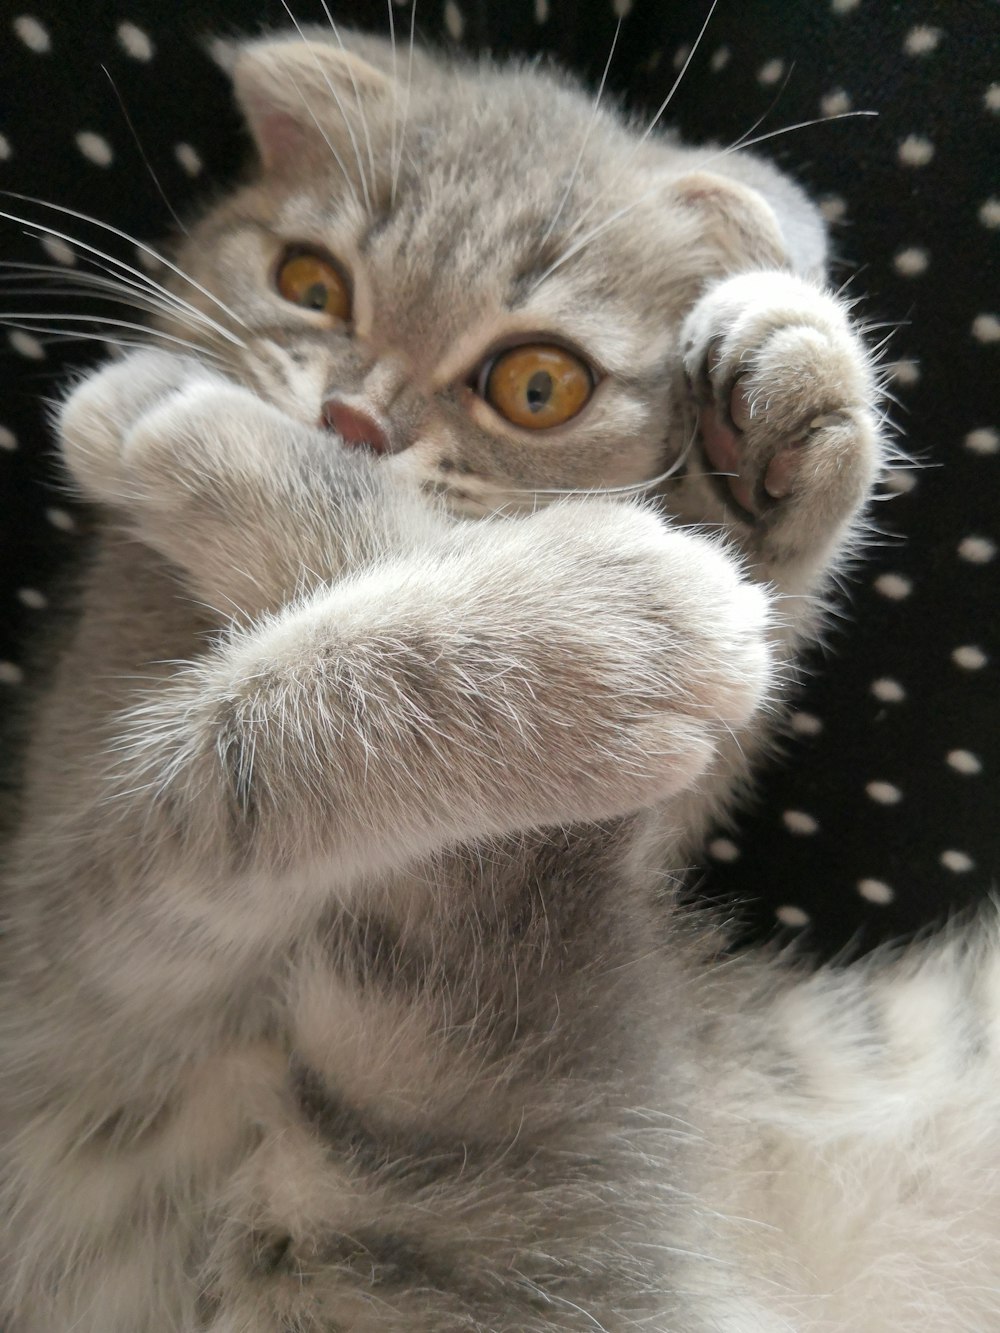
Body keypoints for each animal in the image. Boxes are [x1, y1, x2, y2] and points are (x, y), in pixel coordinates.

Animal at [1, 20, 1000, 1333]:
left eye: (538, 385)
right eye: (311, 285)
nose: (351, 420)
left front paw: (781, 428)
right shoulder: (69, 930)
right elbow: (240, 758)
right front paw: (596, 625)